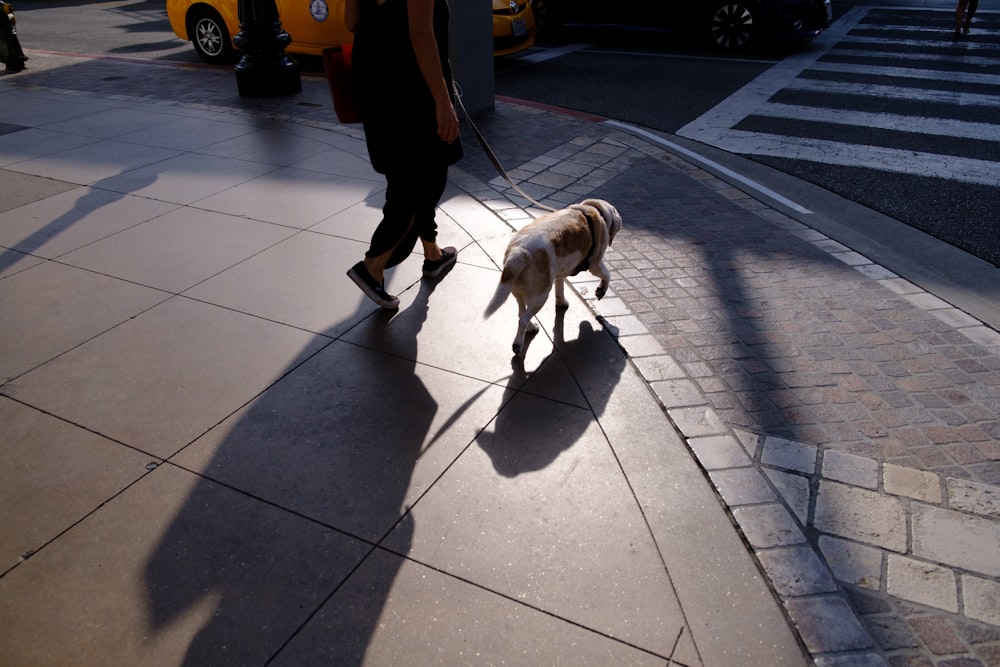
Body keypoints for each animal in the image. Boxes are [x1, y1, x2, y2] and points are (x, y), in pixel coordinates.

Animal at [486, 198, 620, 354]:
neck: (594, 209)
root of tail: (520, 251)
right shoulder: (595, 264)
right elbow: (607, 275)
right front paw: (601, 290)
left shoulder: (560, 274)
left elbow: (560, 288)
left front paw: (561, 302)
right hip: (540, 296)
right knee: (523, 319)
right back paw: (518, 344)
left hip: (517, 292)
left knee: (521, 313)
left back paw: (531, 327)